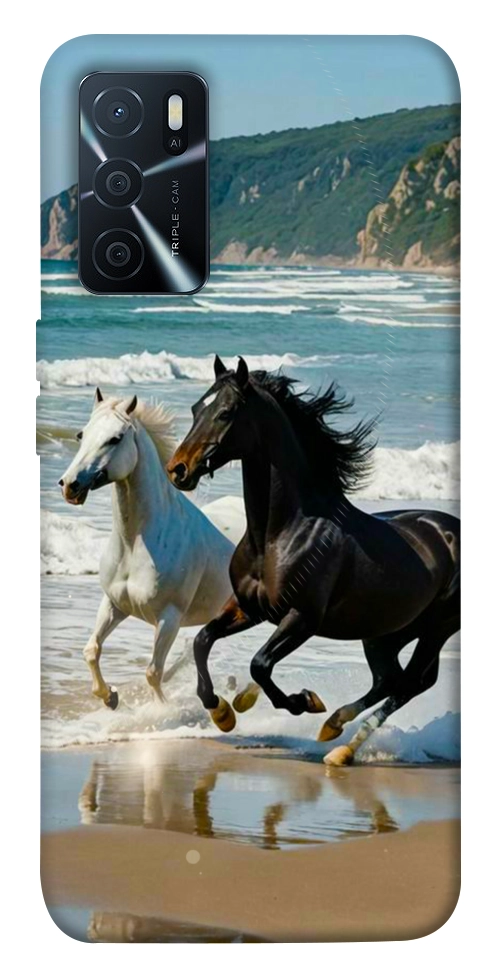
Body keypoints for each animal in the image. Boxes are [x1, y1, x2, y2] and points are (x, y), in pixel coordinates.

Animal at [59, 388, 234, 709]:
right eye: (81, 434)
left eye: (115, 438)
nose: (69, 485)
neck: (135, 544)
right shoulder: (114, 604)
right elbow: (91, 650)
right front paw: (110, 697)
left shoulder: (169, 618)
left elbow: (153, 672)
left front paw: (161, 711)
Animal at [166, 356, 460, 765]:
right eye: (196, 409)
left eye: (225, 413)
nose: (178, 469)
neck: (280, 534)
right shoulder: (248, 608)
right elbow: (202, 640)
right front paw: (223, 711)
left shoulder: (302, 618)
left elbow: (260, 664)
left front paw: (303, 701)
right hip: (386, 632)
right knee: (390, 679)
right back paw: (334, 729)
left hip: (436, 628)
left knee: (410, 683)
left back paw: (341, 746)